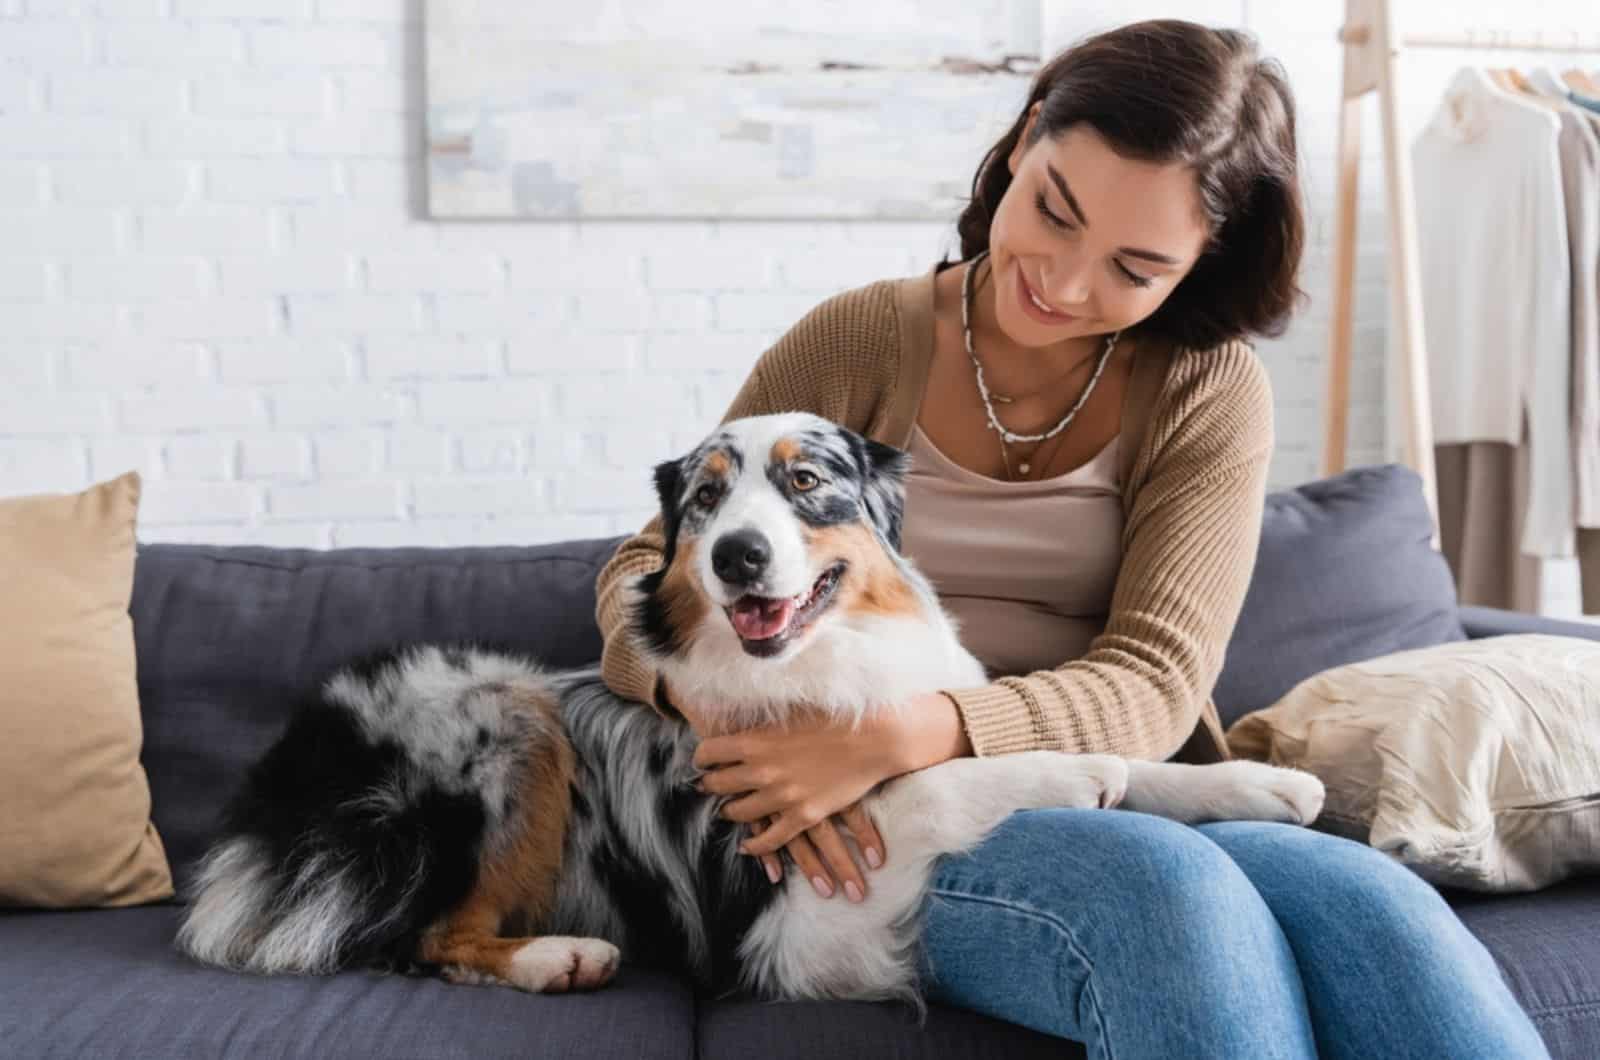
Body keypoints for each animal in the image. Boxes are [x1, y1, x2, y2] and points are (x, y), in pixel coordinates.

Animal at [175, 409, 1324, 1011]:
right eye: (705, 502)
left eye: (806, 480)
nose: (737, 556)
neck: (822, 664)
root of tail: (281, 784)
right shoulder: (797, 918)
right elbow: (930, 784)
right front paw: (1066, 772)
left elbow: (1137, 767)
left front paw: (1259, 779)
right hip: (501, 710)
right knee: (424, 934)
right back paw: (558, 956)